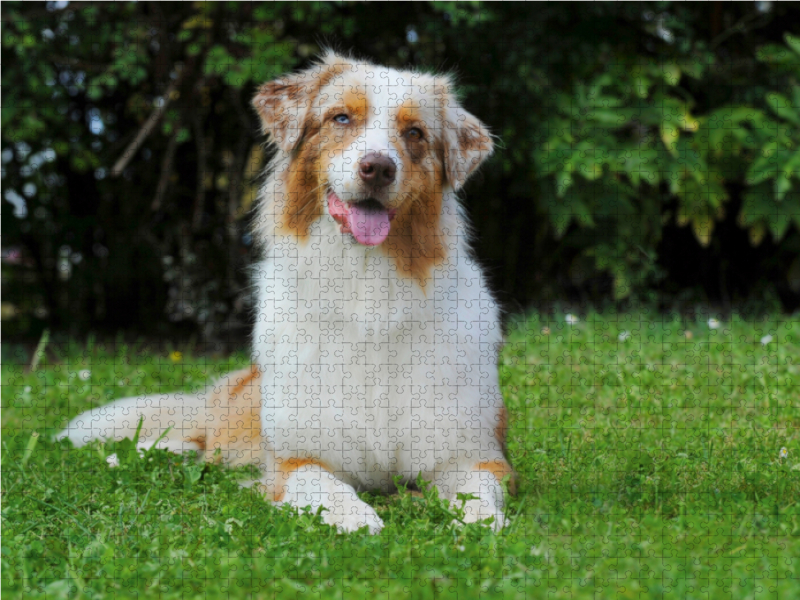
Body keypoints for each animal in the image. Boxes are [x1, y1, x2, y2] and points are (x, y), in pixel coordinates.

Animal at [57, 51, 512, 536]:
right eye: (341, 117)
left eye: (415, 133)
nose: (378, 168)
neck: (365, 295)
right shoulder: (293, 458)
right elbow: (321, 483)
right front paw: (355, 518)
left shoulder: (474, 453)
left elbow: (478, 490)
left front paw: (482, 521)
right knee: (201, 437)